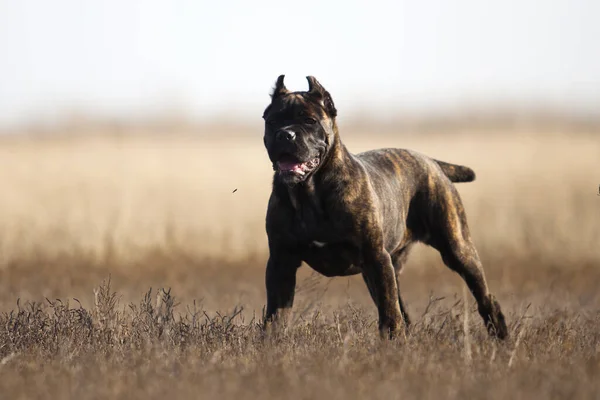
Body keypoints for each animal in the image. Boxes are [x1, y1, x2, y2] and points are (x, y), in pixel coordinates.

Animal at [262, 76, 506, 340]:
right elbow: (276, 313)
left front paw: (391, 341)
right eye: (272, 121)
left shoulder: (375, 256)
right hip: (389, 266)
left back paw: (500, 336)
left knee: (484, 297)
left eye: (309, 120)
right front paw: (271, 341)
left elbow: (389, 312)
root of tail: (431, 161)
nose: (285, 135)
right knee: (401, 308)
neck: (309, 192)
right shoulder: (281, 261)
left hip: (457, 249)